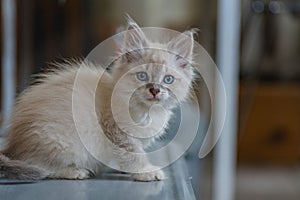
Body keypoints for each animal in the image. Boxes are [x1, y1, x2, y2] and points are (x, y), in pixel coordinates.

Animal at [0, 16, 196, 181]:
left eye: (168, 79)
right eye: (142, 76)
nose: (154, 90)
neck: (146, 111)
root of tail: (12, 146)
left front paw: (125, 170)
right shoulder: (118, 133)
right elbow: (133, 154)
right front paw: (145, 171)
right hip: (60, 141)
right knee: (40, 166)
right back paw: (74, 171)